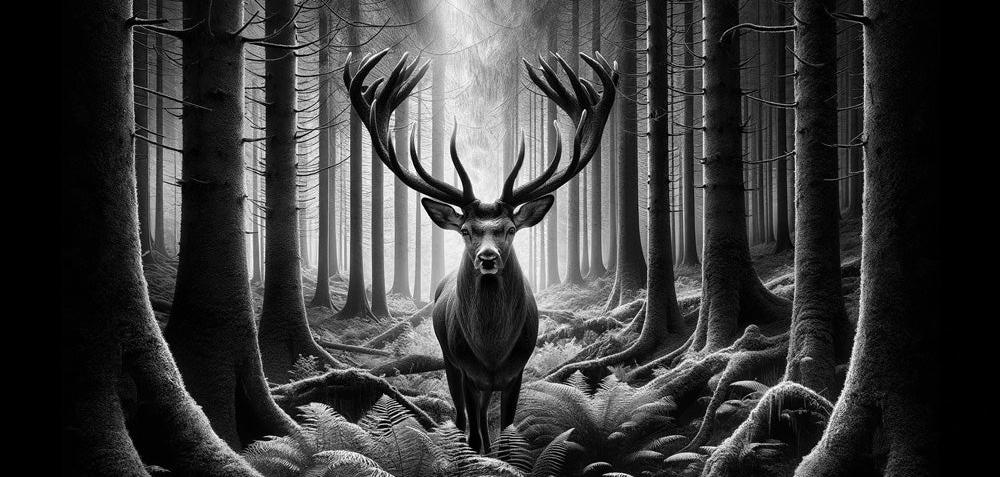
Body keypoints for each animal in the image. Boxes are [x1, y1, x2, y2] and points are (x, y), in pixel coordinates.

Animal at [344, 48, 618, 454]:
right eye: (465, 231)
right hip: (449, 361)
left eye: (510, 230)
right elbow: (474, 433)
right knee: (462, 419)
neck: (491, 353)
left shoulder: (516, 372)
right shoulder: (464, 368)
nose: (487, 258)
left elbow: (507, 432)